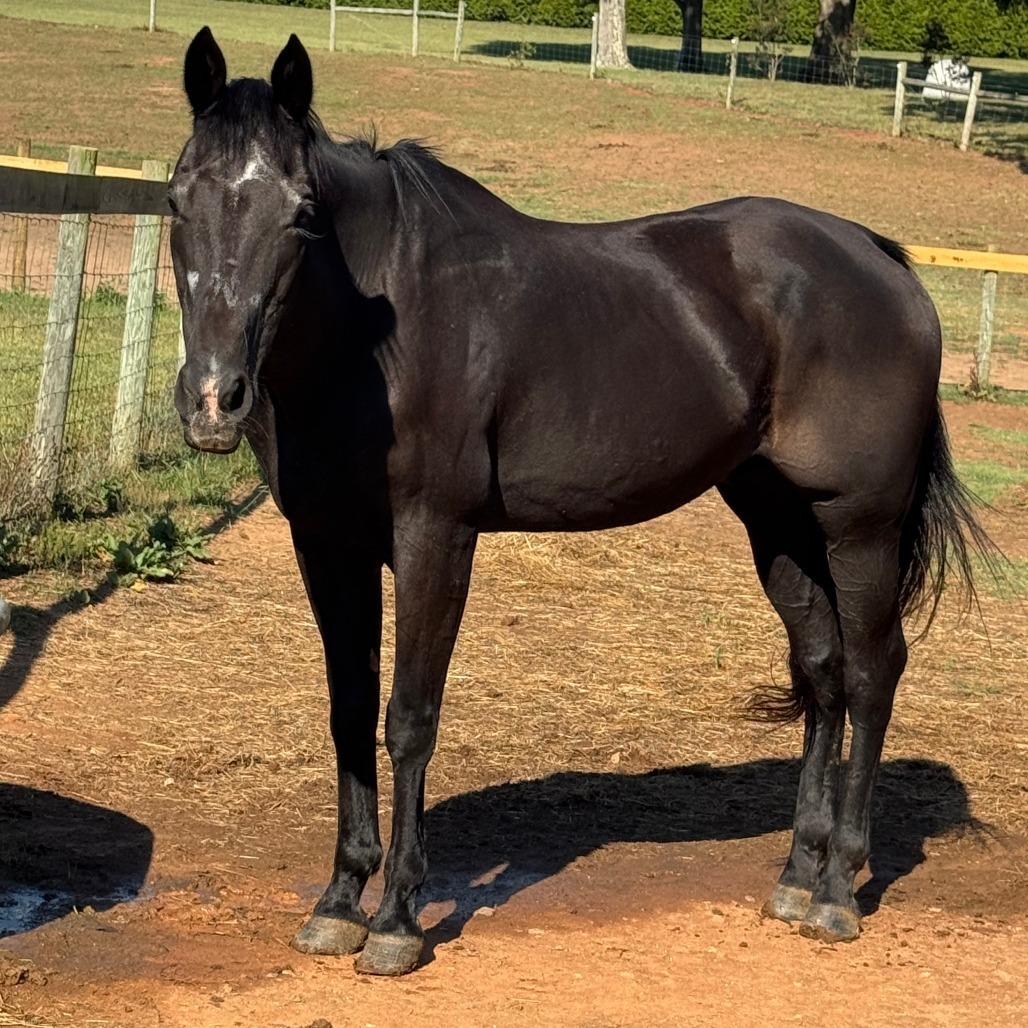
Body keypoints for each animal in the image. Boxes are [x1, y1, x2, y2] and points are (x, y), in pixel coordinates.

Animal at [170, 28, 989, 975]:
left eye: (302, 213)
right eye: (176, 200)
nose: (214, 399)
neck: (377, 333)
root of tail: (879, 258)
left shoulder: (434, 536)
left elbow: (409, 717)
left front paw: (398, 920)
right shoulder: (326, 542)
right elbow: (348, 712)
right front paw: (339, 901)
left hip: (860, 525)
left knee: (872, 670)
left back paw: (836, 892)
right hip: (778, 522)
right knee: (823, 670)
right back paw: (795, 876)